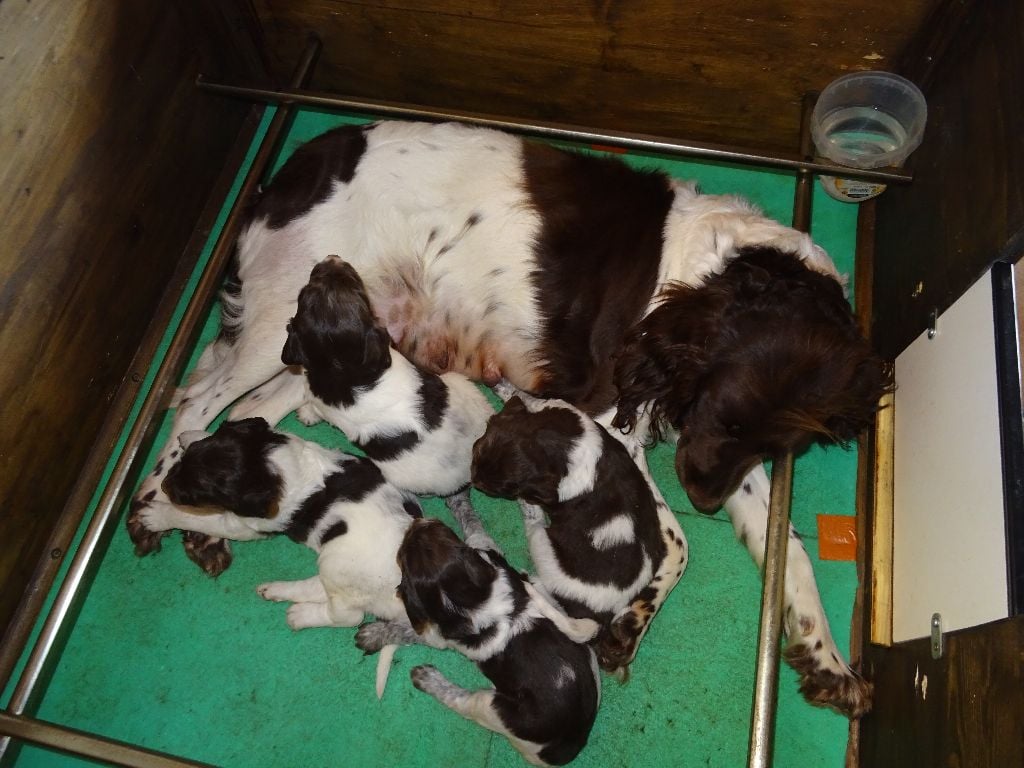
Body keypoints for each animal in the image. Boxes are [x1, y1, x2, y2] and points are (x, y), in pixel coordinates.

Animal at [358, 518, 598, 768]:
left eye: (401, 554)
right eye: (442, 530)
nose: (418, 521)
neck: (474, 602)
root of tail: (569, 745)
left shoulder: (440, 636)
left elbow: (407, 629)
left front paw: (373, 634)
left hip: (493, 708)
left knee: (464, 702)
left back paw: (427, 678)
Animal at [471, 393, 679, 675]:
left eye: (505, 487)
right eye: (478, 447)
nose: (473, 480)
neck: (562, 441)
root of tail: (599, 618)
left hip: (544, 546)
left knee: (538, 547)